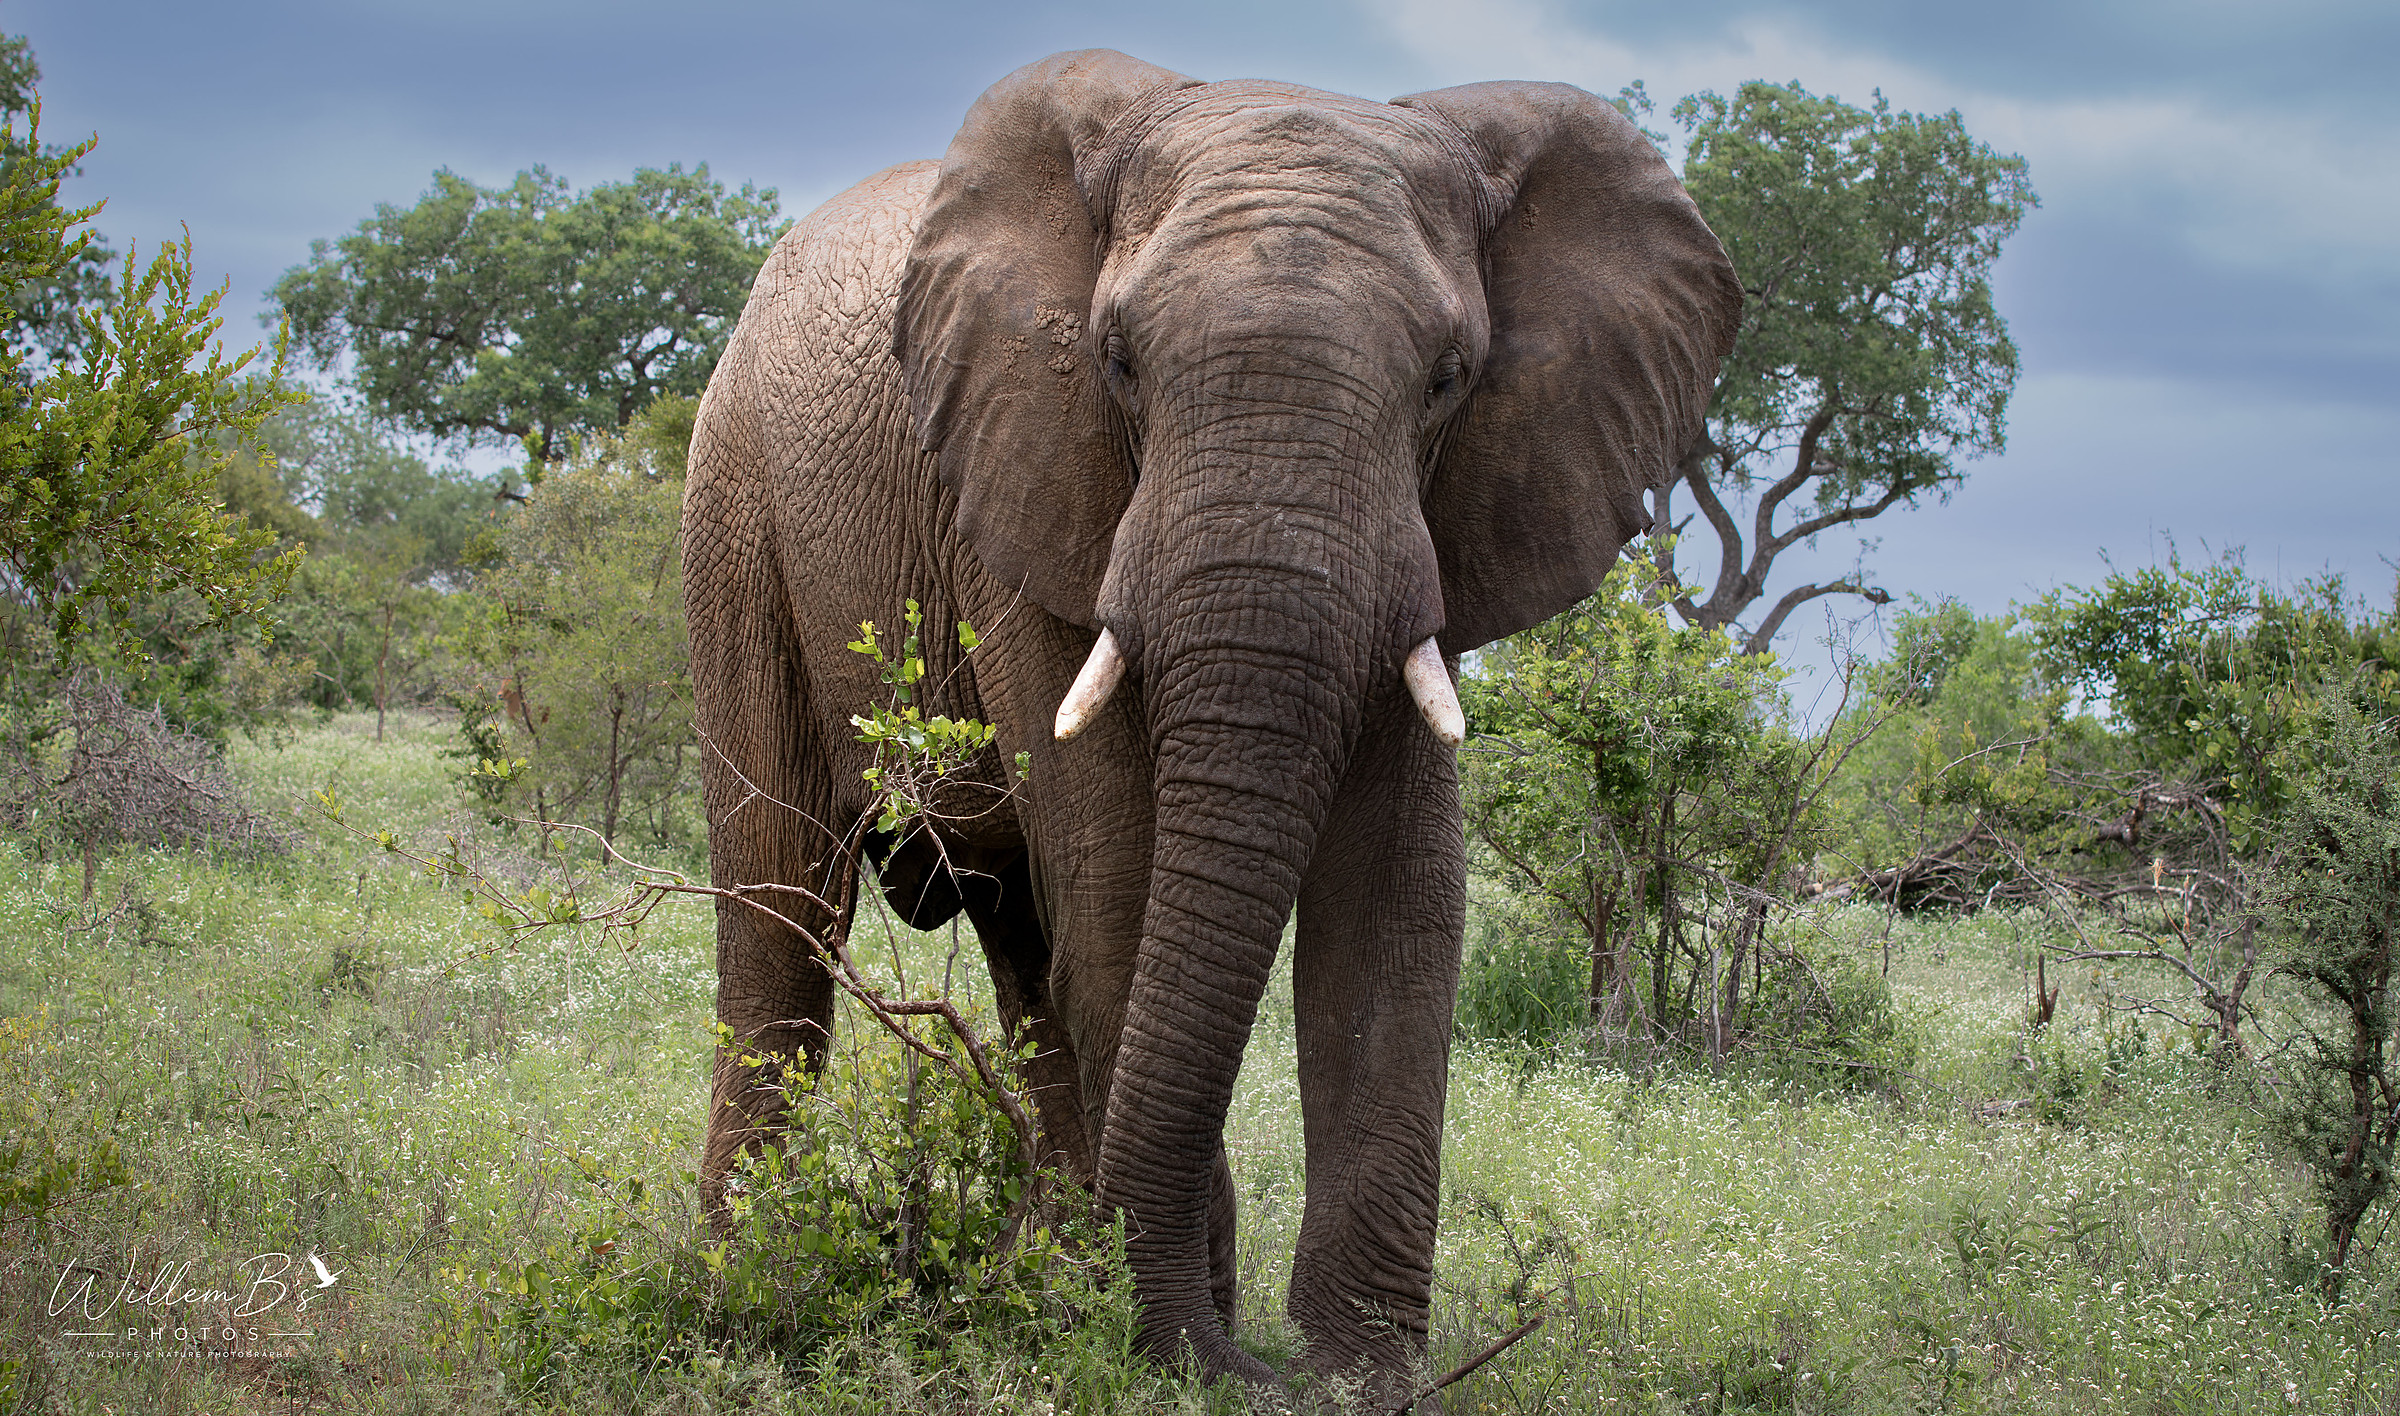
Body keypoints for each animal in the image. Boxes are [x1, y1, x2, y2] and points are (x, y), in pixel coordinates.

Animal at [682, 48, 1737, 1402]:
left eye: (1448, 379)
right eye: (1116, 360)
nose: (1255, 1371)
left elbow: (1399, 897)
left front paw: (1352, 1379)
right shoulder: (1034, 485)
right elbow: (1125, 872)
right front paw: (1177, 1355)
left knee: (1024, 947)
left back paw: (1039, 1277)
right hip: (735, 508)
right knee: (782, 919)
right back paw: (747, 1293)